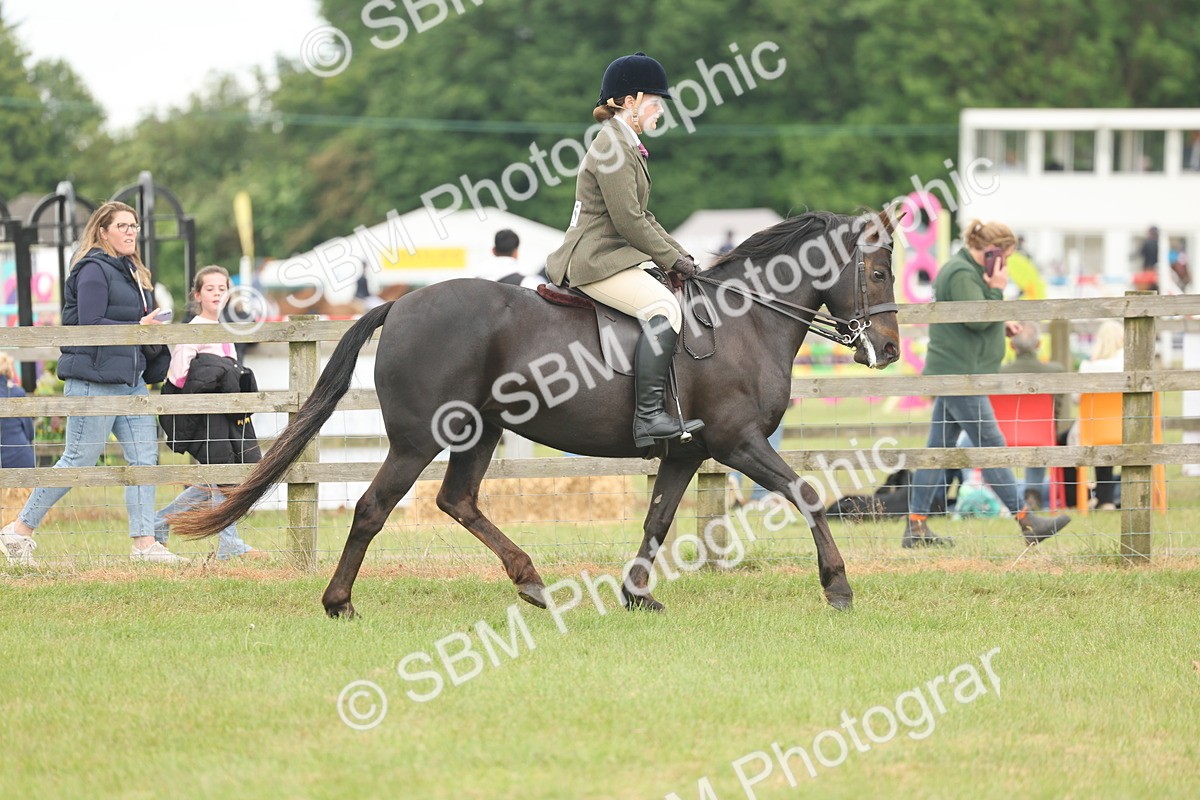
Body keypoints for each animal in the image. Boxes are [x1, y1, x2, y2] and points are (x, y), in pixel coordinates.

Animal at [171, 209, 903, 617]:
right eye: (877, 273)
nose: (891, 349)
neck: (743, 319)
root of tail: (400, 303)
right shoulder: (737, 441)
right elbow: (806, 493)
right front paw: (838, 587)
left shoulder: (687, 451)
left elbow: (657, 519)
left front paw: (637, 595)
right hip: (417, 441)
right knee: (374, 509)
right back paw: (339, 603)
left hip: (478, 431)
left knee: (458, 502)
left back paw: (532, 584)